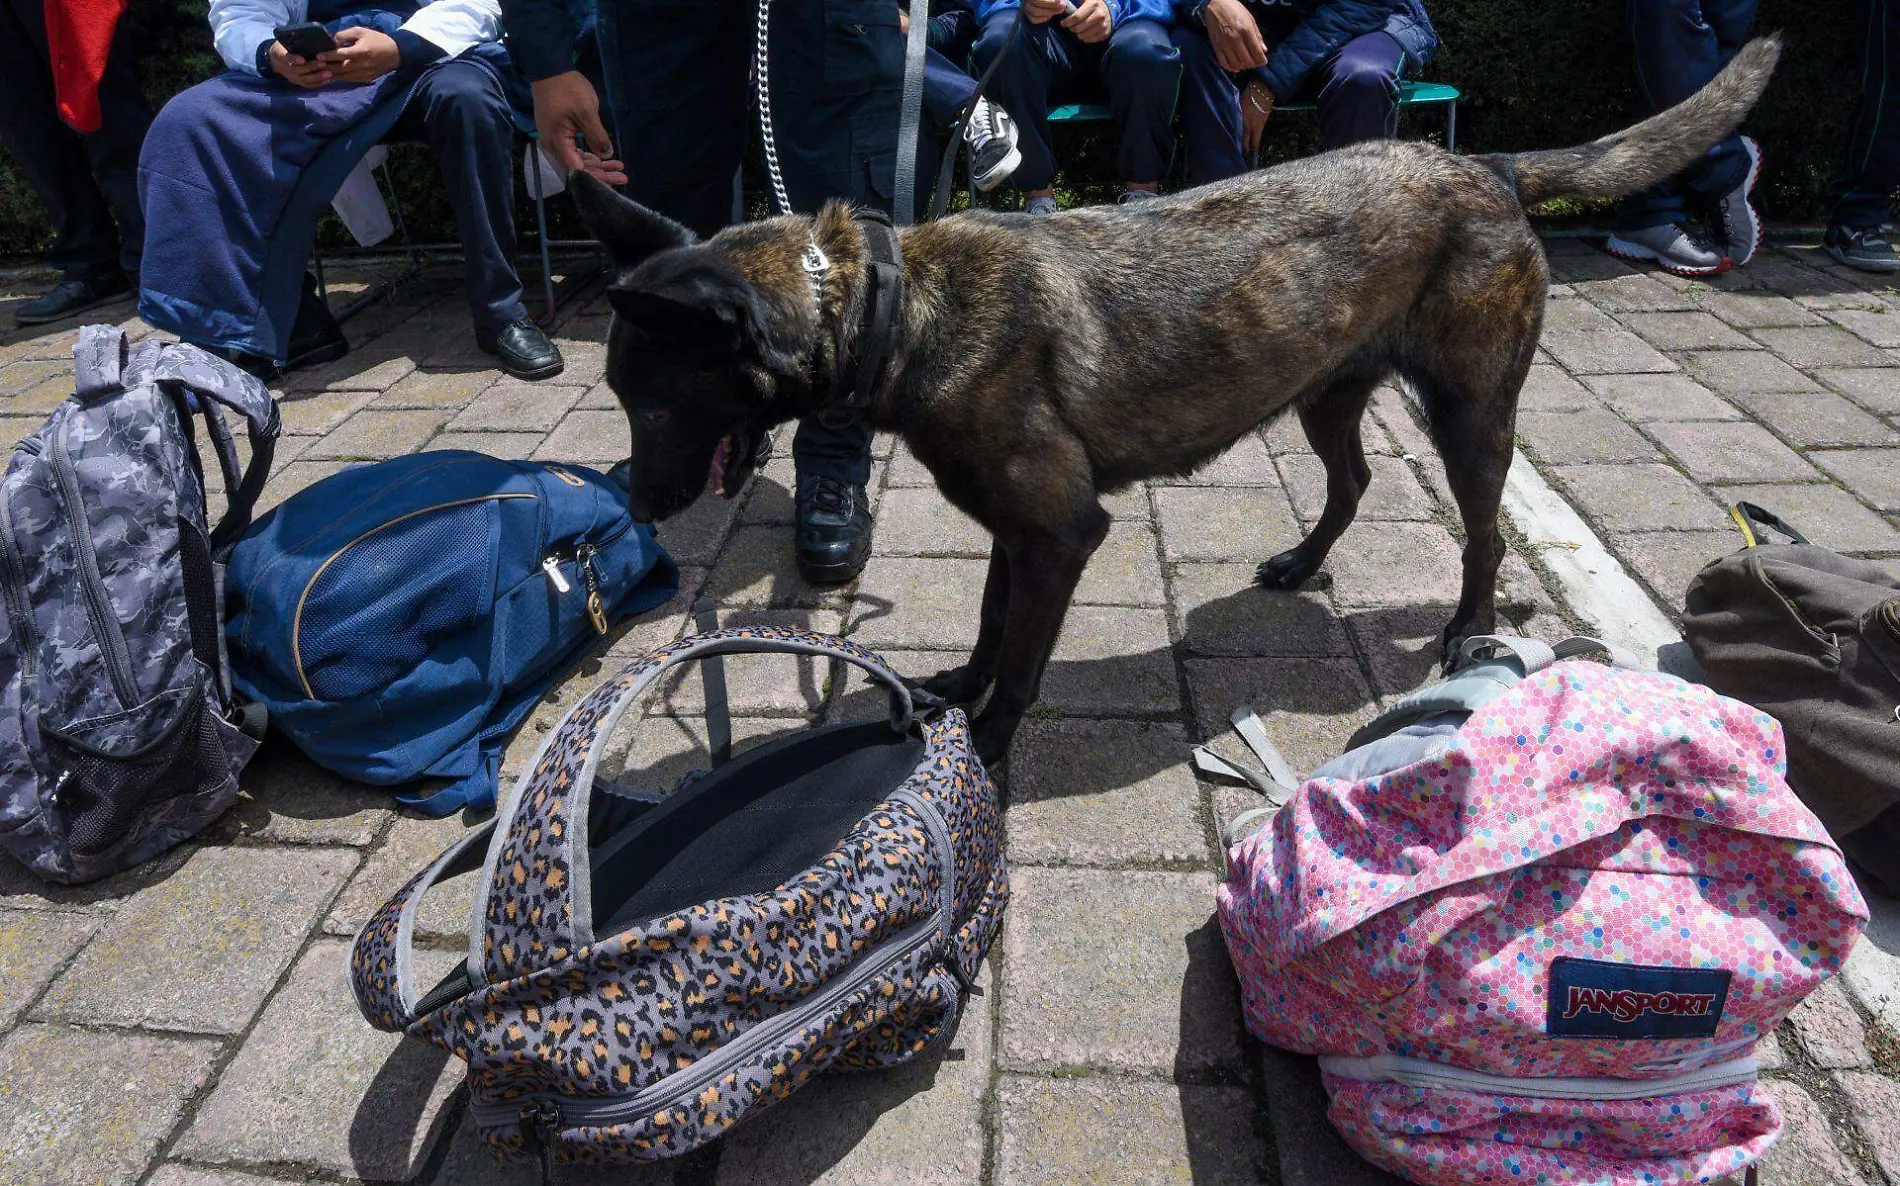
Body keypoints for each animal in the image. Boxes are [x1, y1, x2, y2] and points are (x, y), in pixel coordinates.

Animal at [573, 41, 1778, 764]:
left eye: (654, 405)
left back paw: (1466, 629)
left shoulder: (1061, 532)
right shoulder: (1015, 531)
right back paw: (1301, 563)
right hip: (1325, 394)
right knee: (1352, 477)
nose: (636, 507)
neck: (889, 303)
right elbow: (988, 622)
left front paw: (988, 748)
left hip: (1472, 413)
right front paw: (956, 689)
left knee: (1480, 534)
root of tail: (1487, 165)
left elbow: (1022, 663)